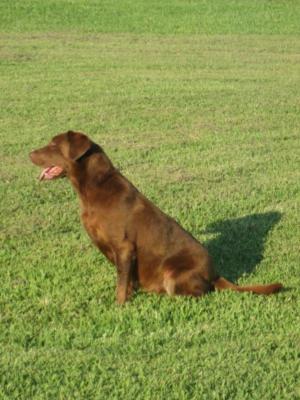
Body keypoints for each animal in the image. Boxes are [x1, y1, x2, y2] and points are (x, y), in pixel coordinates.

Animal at [29, 131, 282, 304]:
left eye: (53, 145)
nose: (29, 153)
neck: (93, 186)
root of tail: (215, 274)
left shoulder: (124, 247)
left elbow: (121, 283)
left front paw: (119, 306)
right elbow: (127, 280)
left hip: (173, 272)